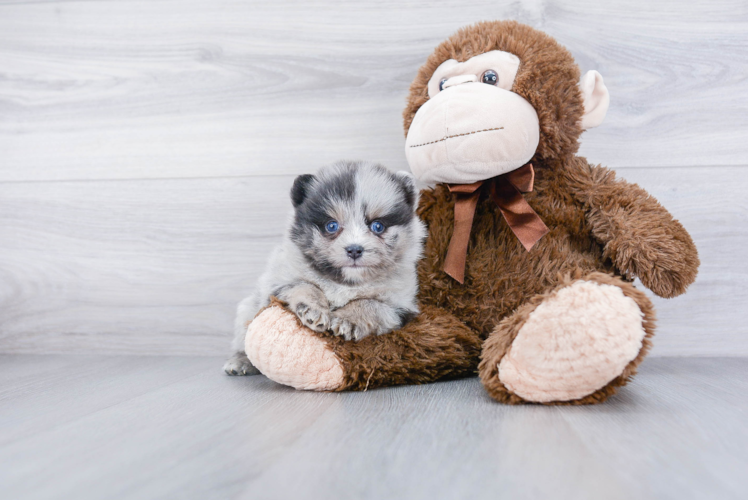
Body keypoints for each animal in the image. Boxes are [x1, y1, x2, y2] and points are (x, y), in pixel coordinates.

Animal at [224, 160, 426, 376]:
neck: (345, 283)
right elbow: (305, 286)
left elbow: (369, 303)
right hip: (247, 309)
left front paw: (347, 319)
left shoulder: (400, 306)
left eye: (377, 226)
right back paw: (241, 361)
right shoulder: (278, 283)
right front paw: (314, 309)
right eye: (331, 225)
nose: (354, 250)